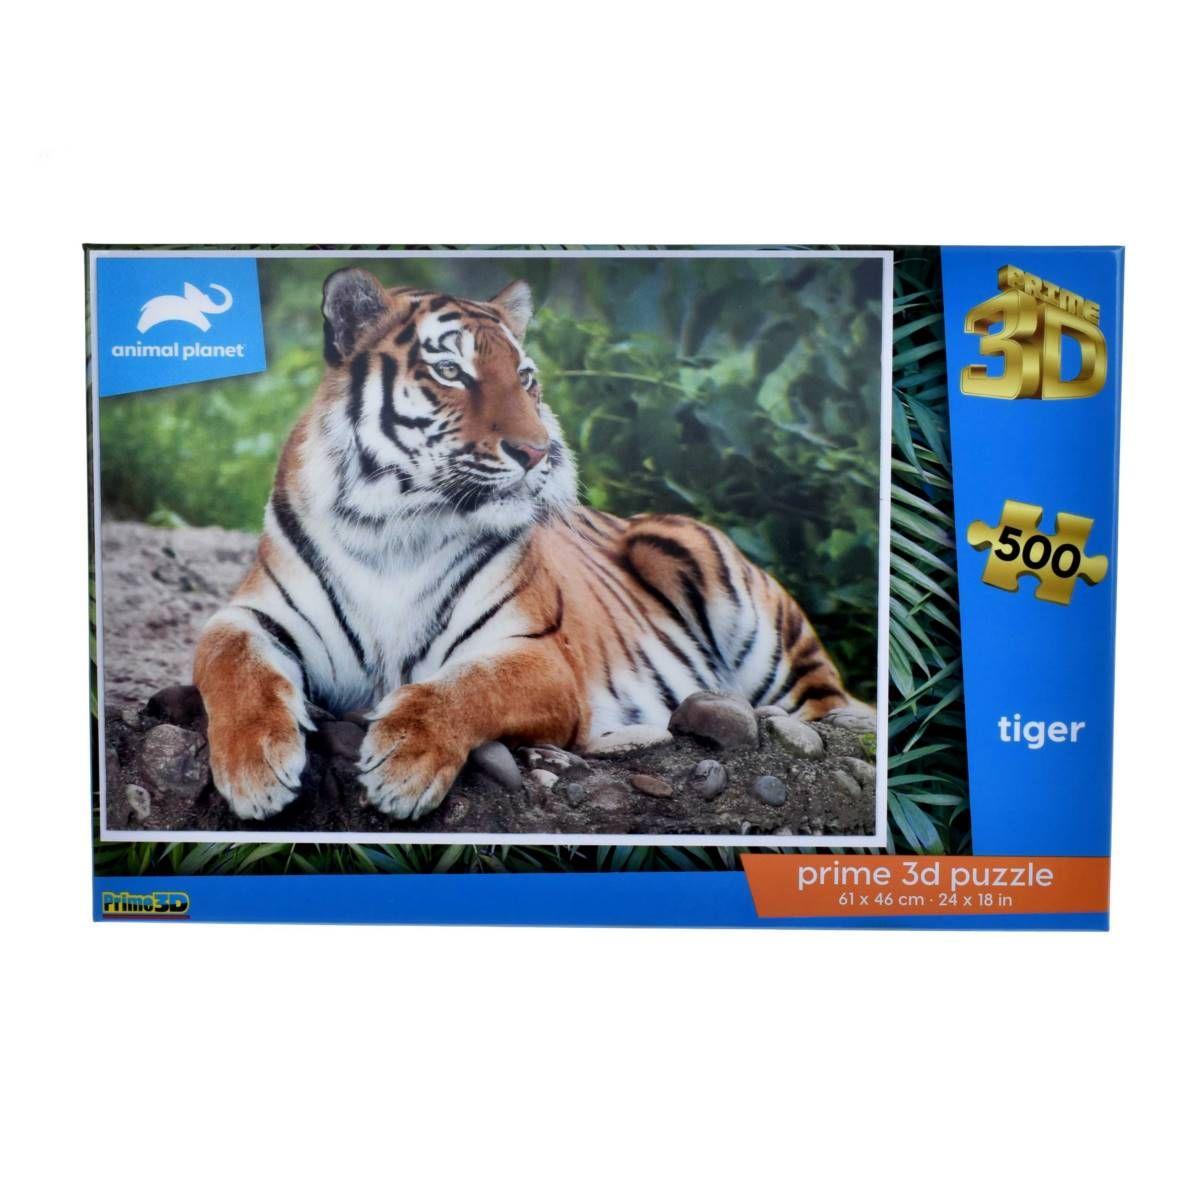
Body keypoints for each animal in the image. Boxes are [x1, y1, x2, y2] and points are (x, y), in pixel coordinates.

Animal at [193, 268, 863, 821]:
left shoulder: (540, 656)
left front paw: (402, 765)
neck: (395, 527)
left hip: (714, 580)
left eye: (525, 379)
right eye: (450, 372)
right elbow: (233, 662)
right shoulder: (251, 614)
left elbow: (464, 687)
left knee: (829, 706)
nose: (538, 452)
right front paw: (256, 768)